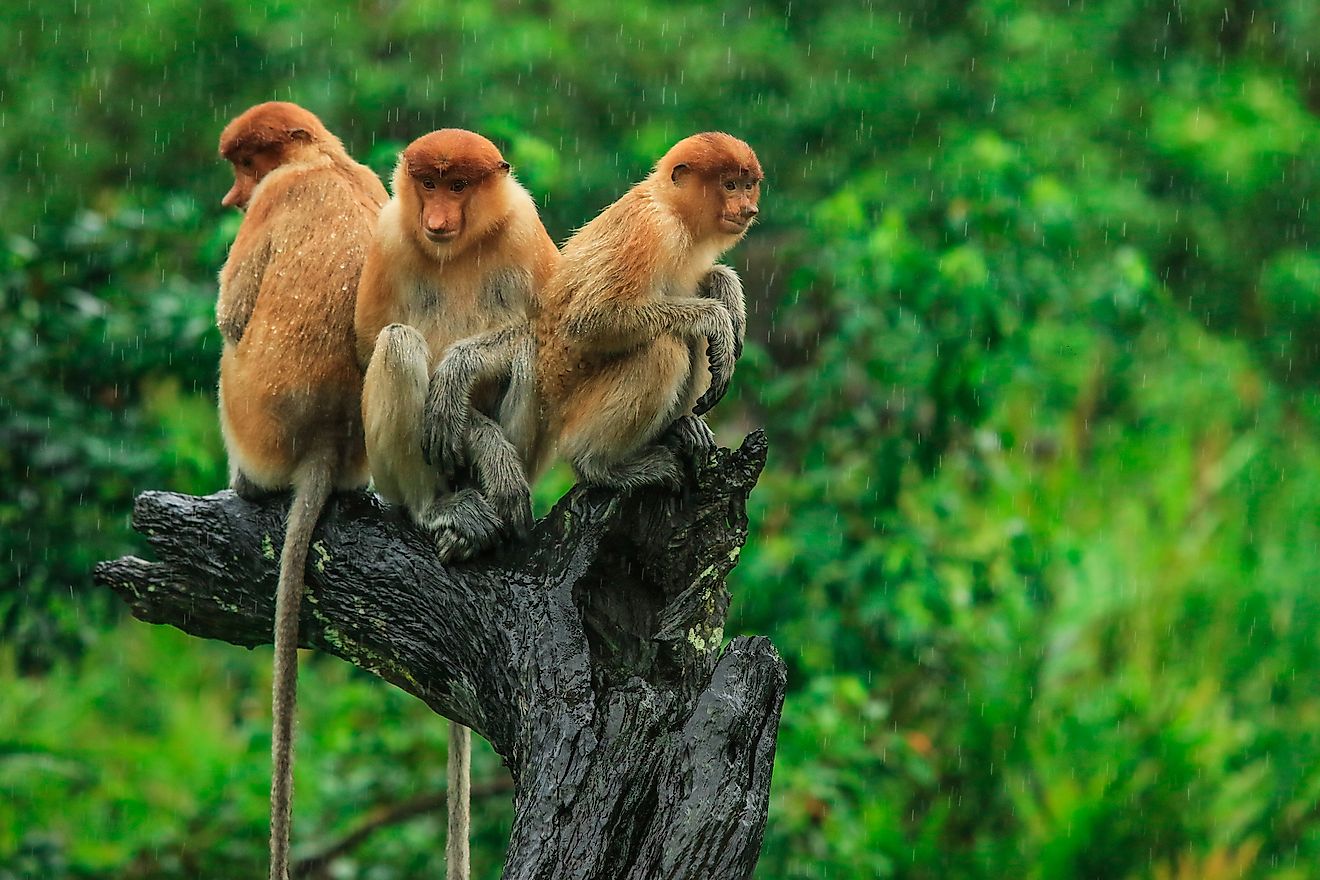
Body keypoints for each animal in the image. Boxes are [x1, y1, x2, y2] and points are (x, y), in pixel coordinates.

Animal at [356, 127, 557, 562]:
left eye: (459, 185)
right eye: (429, 184)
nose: (436, 219)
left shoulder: (523, 225)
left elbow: (557, 324)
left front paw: (455, 375)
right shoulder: (388, 233)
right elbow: (367, 343)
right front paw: (481, 437)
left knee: (533, 352)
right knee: (398, 342)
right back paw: (439, 510)